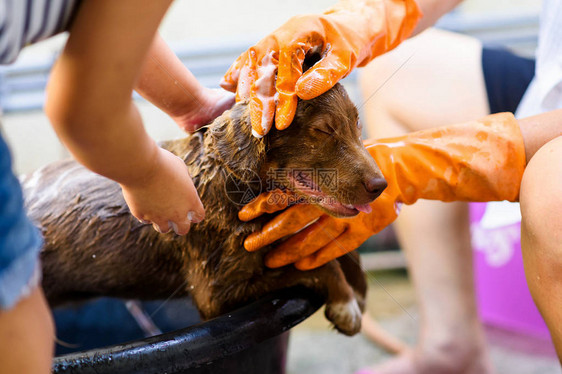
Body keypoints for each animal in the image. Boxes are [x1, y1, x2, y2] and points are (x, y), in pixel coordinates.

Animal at [21, 83, 384, 334]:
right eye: (323, 130)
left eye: (357, 125)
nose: (381, 186)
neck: (235, 185)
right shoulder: (217, 292)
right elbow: (318, 267)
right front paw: (346, 305)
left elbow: (339, 250)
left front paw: (359, 290)